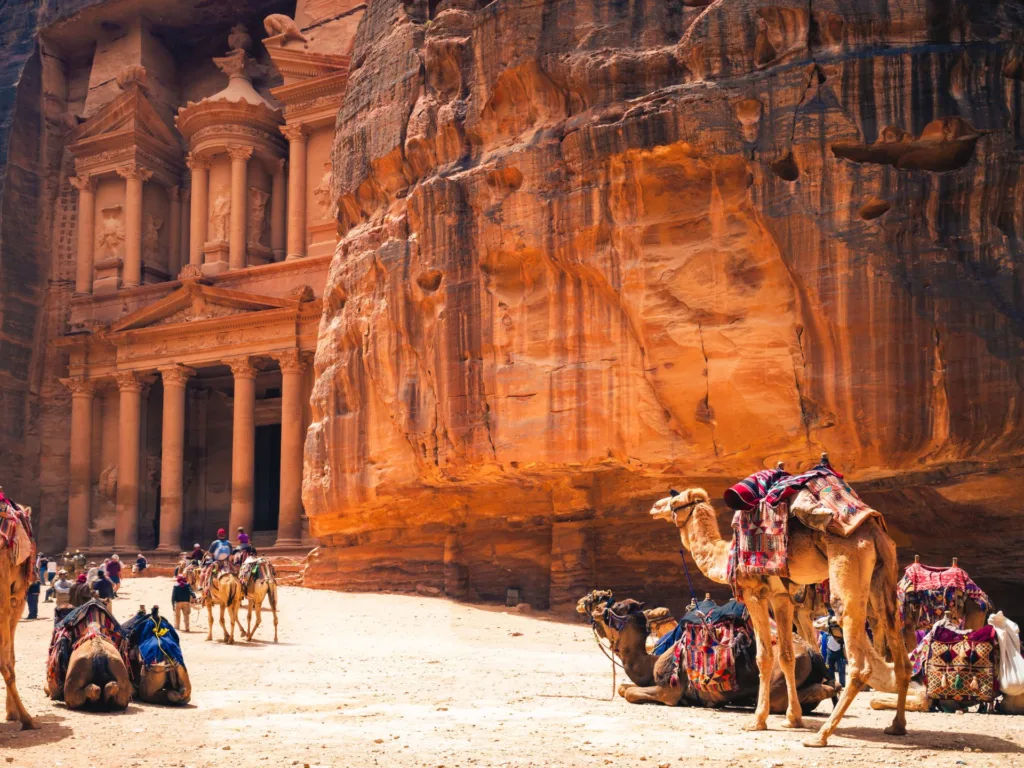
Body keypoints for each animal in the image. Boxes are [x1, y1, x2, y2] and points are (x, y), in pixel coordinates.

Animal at [577, 593, 831, 712]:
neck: (651, 661)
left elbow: (629, 693)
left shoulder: (668, 690)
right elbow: (623, 688)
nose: (591, 604)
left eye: (617, 607)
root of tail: (814, 654)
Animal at [651, 489, 909, 749]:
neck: (727, 555)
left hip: (847, 566)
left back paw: (821, 735)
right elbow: (786, 657)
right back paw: (896, 726)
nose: (655, 507)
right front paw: (793, 718)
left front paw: (758, 720)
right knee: (900, 653)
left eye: (674, 502)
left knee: (859, 661)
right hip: (883, 576)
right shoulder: (782, 598)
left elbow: (764, 656)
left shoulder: (754, 594)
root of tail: (873, 531)